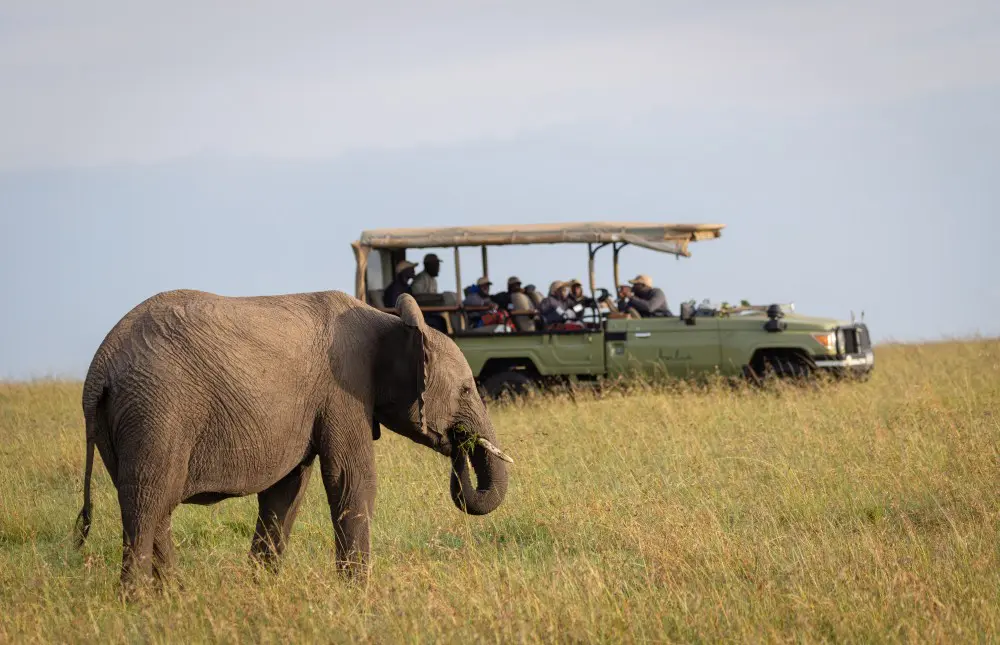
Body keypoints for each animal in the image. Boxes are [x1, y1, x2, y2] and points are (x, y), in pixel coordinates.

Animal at [73, 290, 512, 594]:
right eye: (467, 389)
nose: (460, 444)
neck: (390, 321)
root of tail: (100, 368)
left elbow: (287, 490)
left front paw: (260, 588)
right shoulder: (343, 390)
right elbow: (352, 479)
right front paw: (357, 594)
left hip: (127, 421)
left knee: (156, 507)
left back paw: (176, 597)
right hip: (156, 411)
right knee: (147, 503)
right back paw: (138, 602)